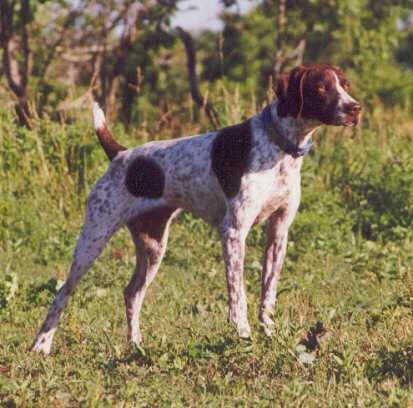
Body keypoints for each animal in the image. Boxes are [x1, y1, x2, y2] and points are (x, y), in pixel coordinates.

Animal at [31, 63, 360, 354]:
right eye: (321, 87)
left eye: (345, 84)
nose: (355, 108)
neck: (279, 147)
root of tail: (121, 154)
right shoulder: (233, 232)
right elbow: (238, 298)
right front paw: (244, 339)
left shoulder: (279, 233)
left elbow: (267, 298)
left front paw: (269, 336)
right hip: (93, 239)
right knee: (61, 294)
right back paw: (41, 345)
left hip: (153, 248)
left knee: (131, 294)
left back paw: (135, 345)